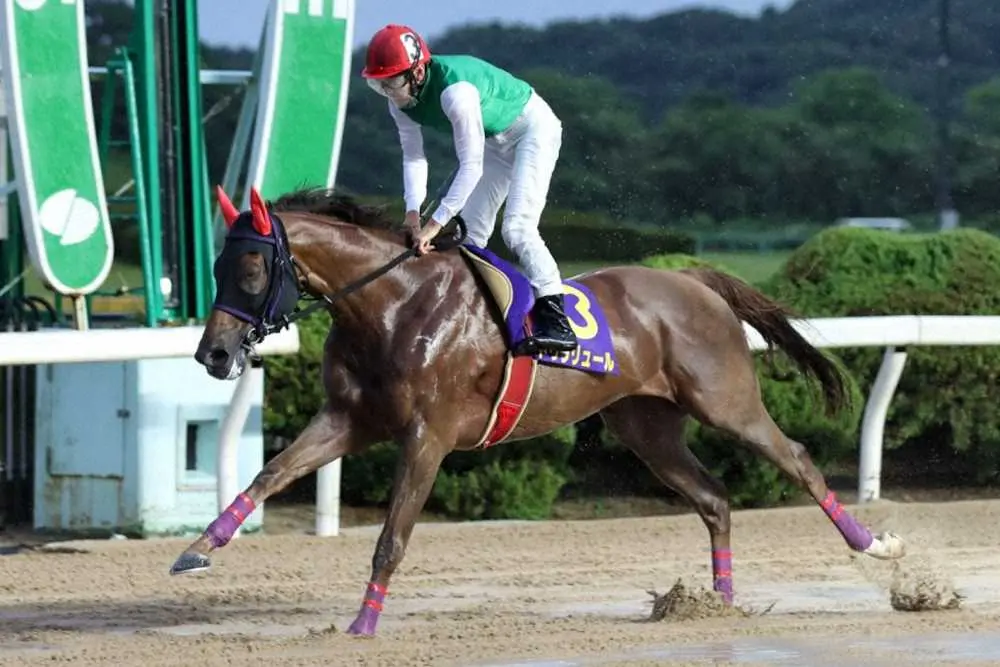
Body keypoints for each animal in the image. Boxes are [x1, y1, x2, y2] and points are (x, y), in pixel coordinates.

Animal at [169, 184, 906, 636]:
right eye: (216, 266)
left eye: (251, 270)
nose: (212, 353)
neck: (392, 304)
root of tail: (692, 278)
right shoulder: (348, 419)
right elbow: (271, 473)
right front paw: (197, 548)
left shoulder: (427, 435)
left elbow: (391, 537)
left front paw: (362, 624)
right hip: (645, 426)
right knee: (714, 497)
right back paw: (715, 603)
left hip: (726, 401)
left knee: (798, 459)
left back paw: (877, 545)